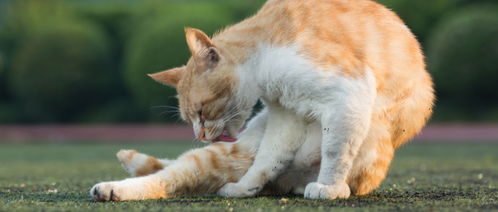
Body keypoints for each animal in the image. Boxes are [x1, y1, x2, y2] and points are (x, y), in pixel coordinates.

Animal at [91, 0, 434, 200]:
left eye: (201, 112)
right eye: (189, 119)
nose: (199, 136)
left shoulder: (347, 92)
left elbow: (336, 150)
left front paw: (329, 188)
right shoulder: (286, 116)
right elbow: (269, 158)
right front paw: (245, 188)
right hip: (230, 152)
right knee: (172, 175)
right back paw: (110, 187)